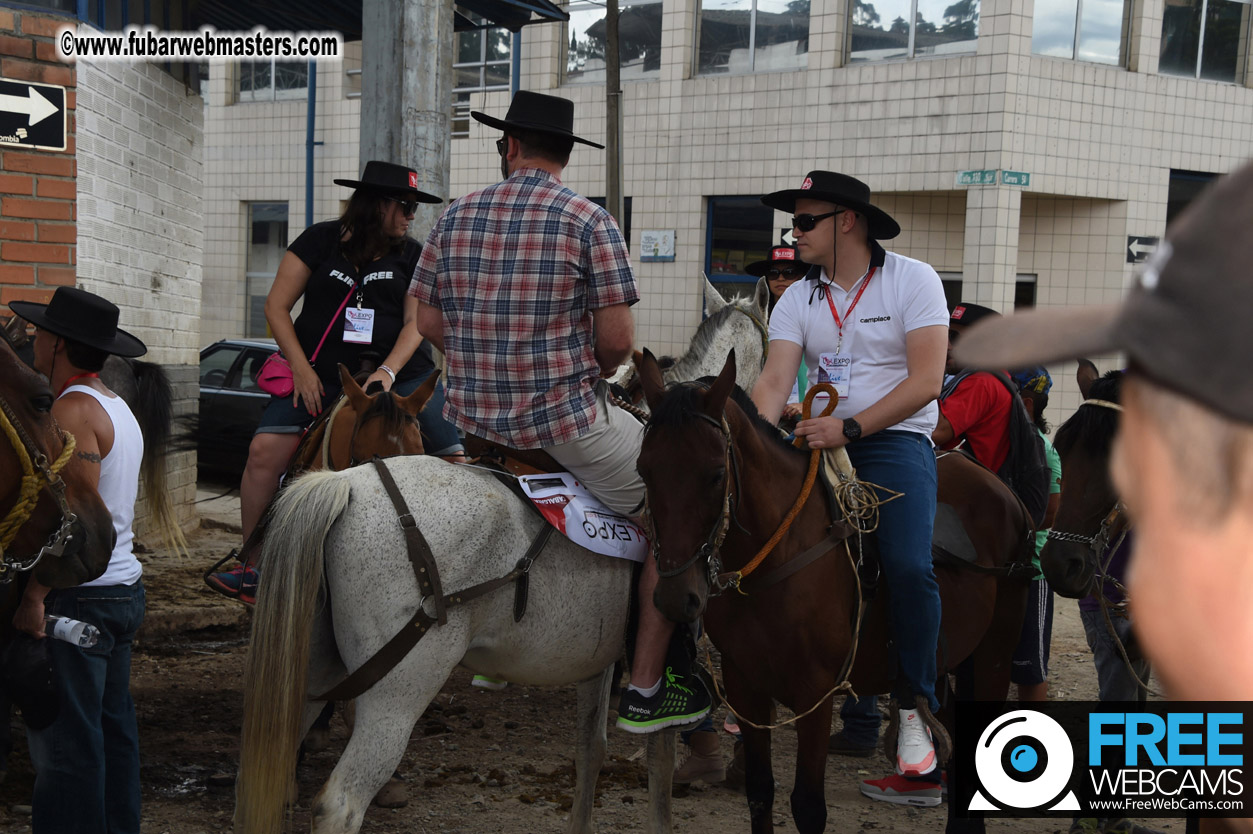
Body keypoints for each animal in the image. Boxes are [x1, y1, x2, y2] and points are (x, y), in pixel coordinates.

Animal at [641, 348, 1032, 831]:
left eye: (715, 474)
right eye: (644, 470)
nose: (676, 598)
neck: (778, 553)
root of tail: (1004, 490)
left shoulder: (815, 693)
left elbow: (808, 805)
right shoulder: (745, 685)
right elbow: (759, 792)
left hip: (993, 653)